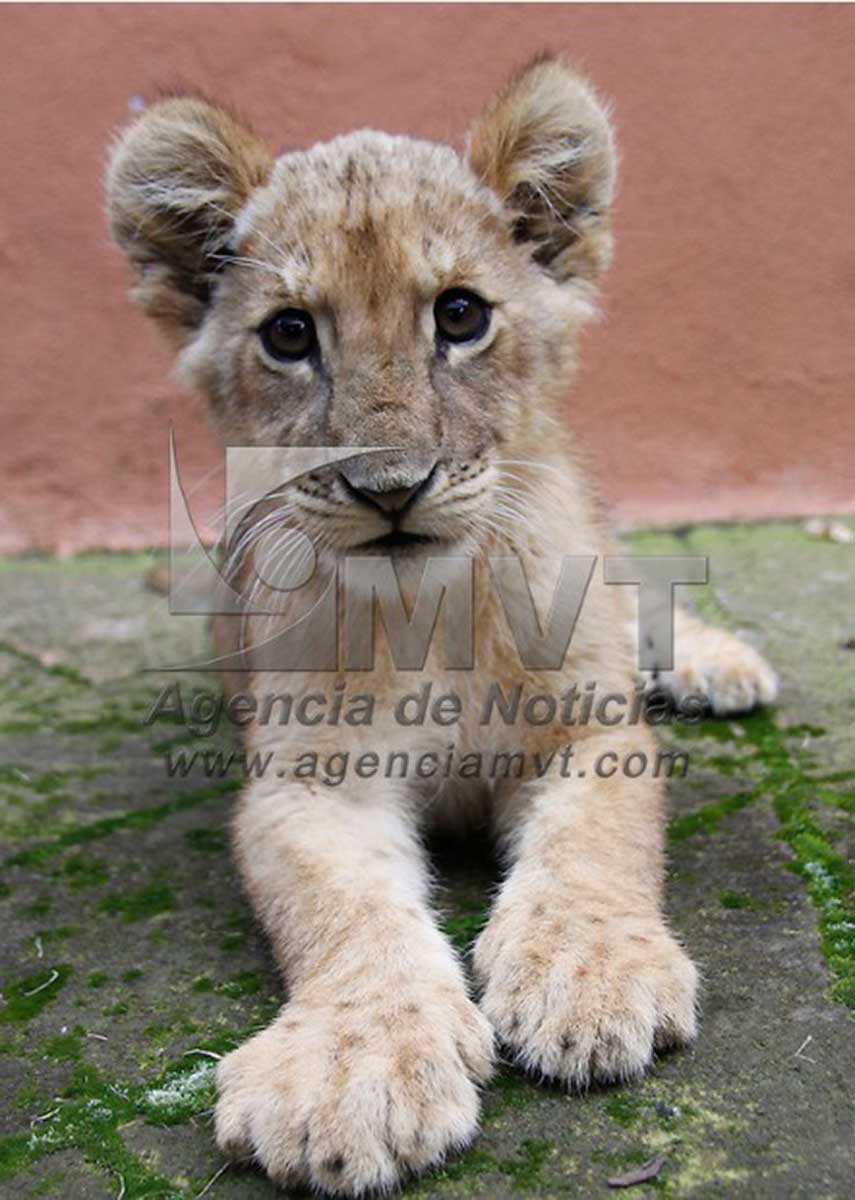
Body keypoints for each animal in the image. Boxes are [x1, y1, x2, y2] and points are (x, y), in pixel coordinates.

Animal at [106, 57, 778, 1196]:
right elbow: (347, 912)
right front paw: (353, 1070)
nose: (390, 488)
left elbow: (594, 848)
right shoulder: (310, 783)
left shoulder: (592, 733)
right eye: (290, 334)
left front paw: (590, 976)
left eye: (460, 316)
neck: (433, 613)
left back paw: (717, 663)